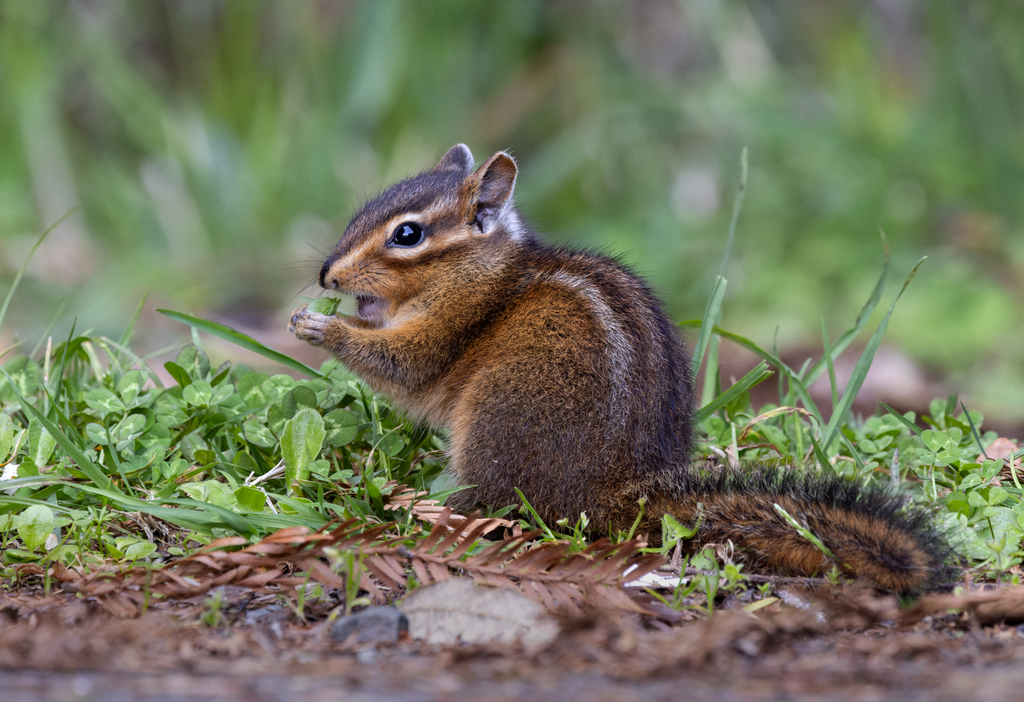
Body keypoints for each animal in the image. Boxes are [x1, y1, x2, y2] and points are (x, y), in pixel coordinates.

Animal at [289, 144, 949, 594]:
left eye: (407, 234)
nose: (326, 275)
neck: (483, 272)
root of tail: (616, 492)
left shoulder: (450, 326)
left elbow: (403, 365)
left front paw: (324, 327)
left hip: (497, 416)